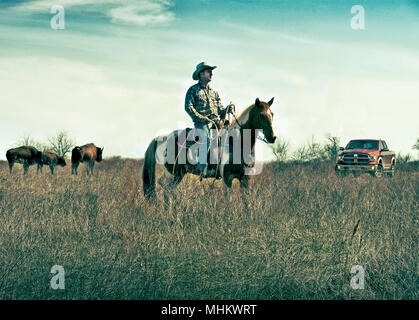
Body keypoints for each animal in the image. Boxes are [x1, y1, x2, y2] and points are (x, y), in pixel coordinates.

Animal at [143, 97, 278, 199]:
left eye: (272, 114)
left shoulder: (246, 178)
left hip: (178, 175)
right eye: (261, 115)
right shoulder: (227, 178)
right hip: (171, 173)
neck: (237, 142)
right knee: (165, 189)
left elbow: (247, 202)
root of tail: (162, 138)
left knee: (169, 191)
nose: (273, 137)